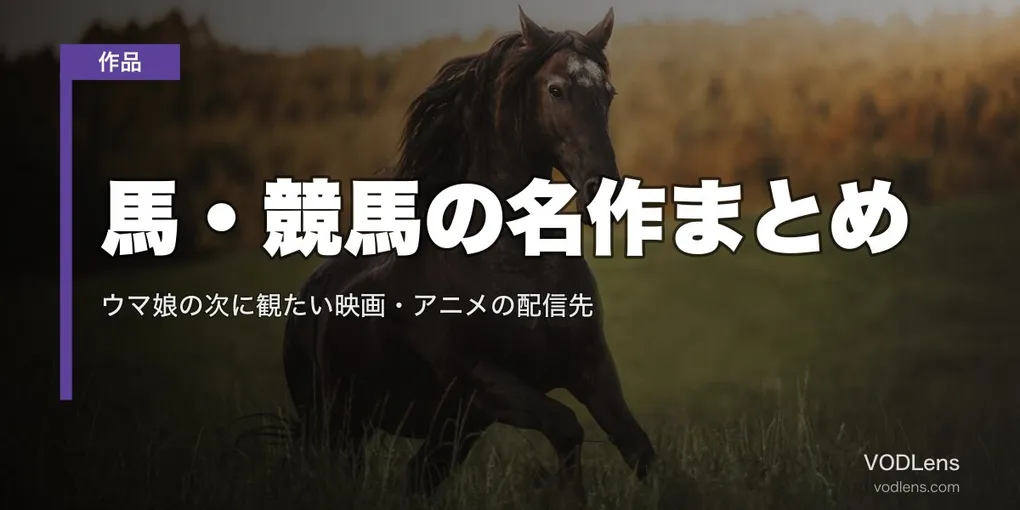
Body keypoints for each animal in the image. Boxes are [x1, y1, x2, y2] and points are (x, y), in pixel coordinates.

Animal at [282, 7, 656, 505]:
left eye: (608, 94)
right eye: (556, 89)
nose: (606, 189)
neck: (519, 265)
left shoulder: (588, 365)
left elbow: (636, 446)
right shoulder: (481, 379)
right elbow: (567, 427)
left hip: (448, 432)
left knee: (417, 477)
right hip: (335, 424)